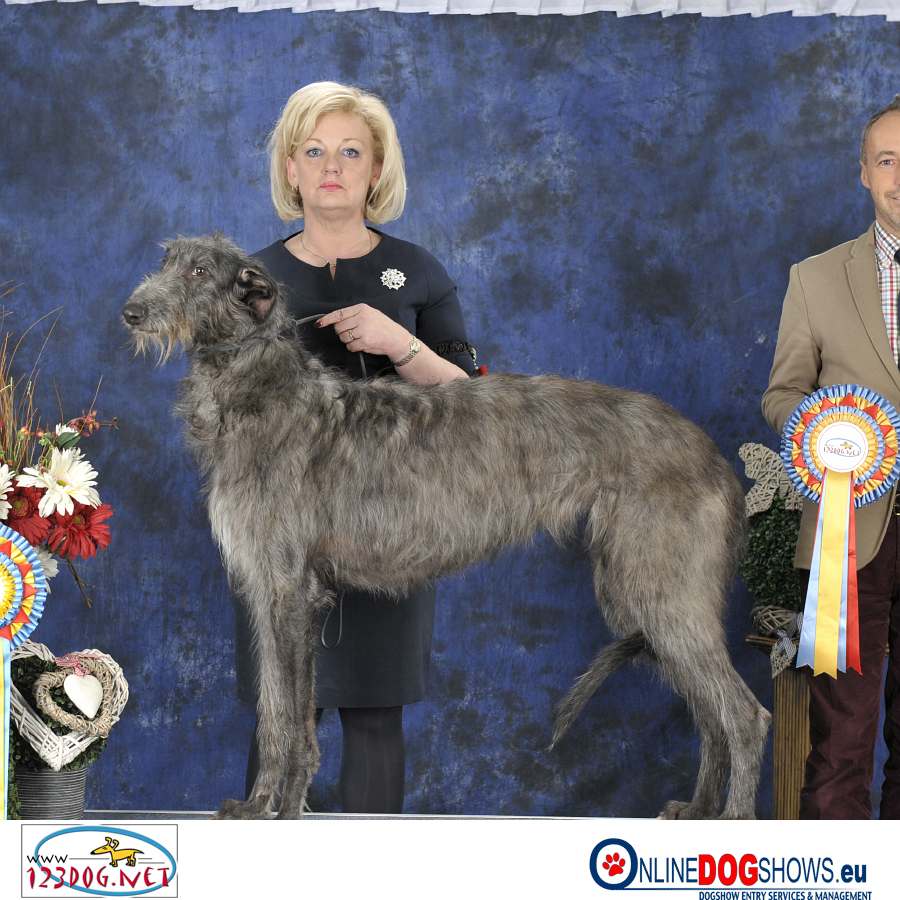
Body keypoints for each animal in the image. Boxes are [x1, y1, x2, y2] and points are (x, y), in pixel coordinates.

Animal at [123, 233, 770, 820]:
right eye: (166, 261)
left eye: (200, 271)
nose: (130, 311)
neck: (260, 386)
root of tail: (711, 453)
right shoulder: (268, 590)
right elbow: (276, 707)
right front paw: (267, 804)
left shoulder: (289, 589)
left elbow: (286, 717)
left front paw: (271, 809)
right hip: (645, 591)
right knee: (709, 713)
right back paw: (697, 810)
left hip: (658, 585)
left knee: (744, 716)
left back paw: (734, 821)